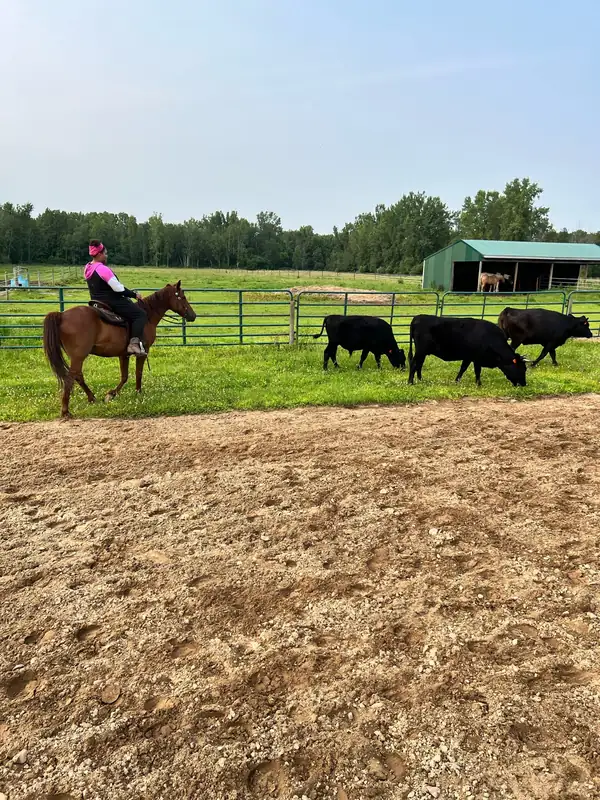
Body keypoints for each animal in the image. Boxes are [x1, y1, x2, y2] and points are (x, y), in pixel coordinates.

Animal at [43, 281, 196, 418]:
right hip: (78, 356)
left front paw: (111, 394)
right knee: (70, 378)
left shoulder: (124, 355)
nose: (193, 315)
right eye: (182, 297)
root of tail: (62, 315)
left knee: (78, 376)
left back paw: (92, 398)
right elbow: (138, 373)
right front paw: (137, 392)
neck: (148, 315)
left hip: (76, 357)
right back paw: (65, 411)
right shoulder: (142, 352)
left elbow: (124, 376)